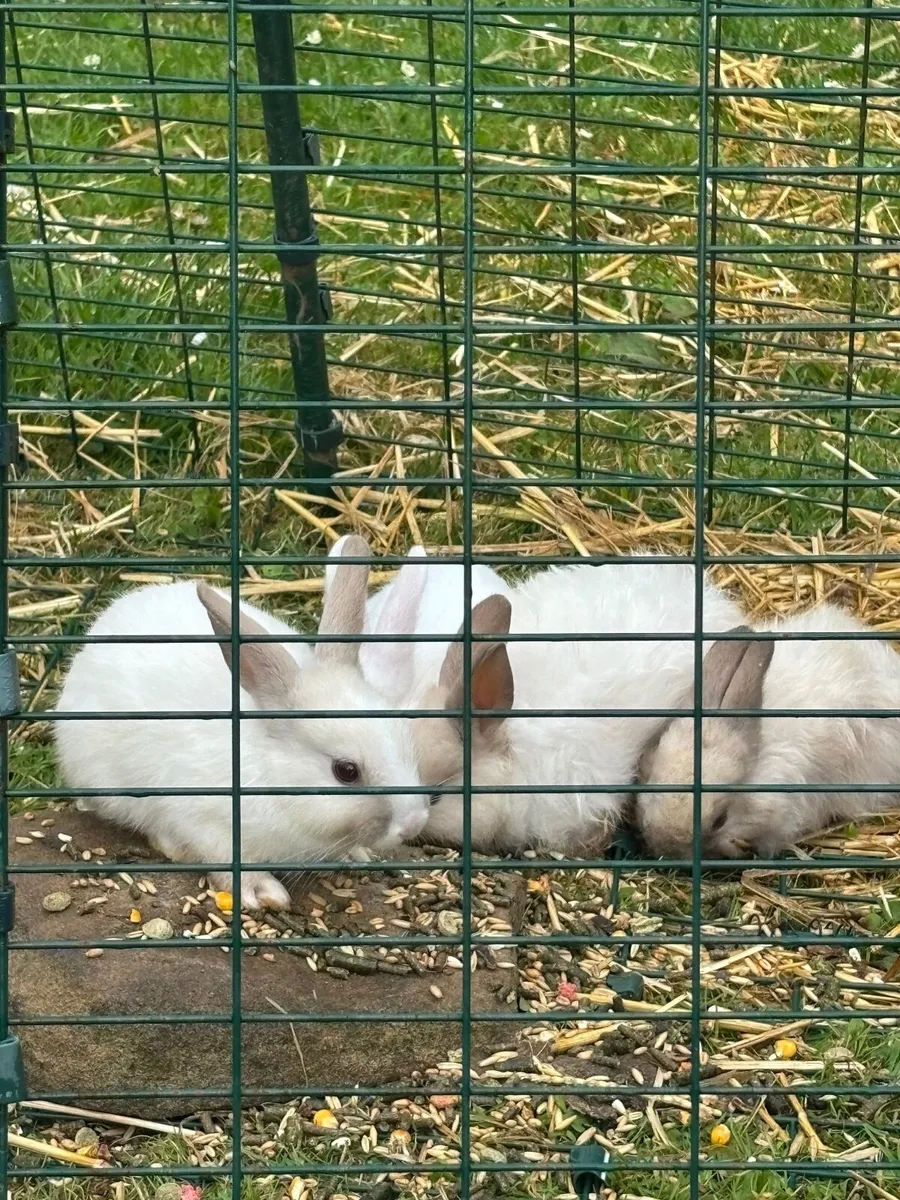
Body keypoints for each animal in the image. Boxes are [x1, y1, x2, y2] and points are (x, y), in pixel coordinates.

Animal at [53, 537, 429, 910]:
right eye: (346, 771)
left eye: (406, 741)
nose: (413, 824)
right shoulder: (207, 825)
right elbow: (227, 863)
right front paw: (264, 894)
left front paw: (357, 853)